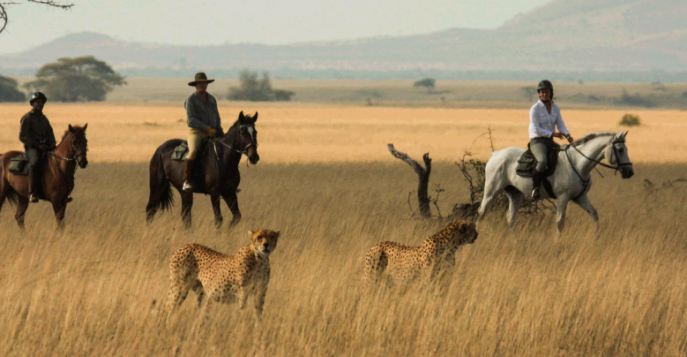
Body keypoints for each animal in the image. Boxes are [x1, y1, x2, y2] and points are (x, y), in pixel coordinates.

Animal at [478, 131, 636, 231]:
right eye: (620, 149)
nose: (629, 172)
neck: (578, 163)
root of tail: (495, 154)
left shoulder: (580, 197)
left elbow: (594, 215)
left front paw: (596, 238)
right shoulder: (563, 197)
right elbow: (560, 222)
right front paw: (557, 243)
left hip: (515, 193)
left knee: (511, 218)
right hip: (491, 192)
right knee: (481, 213)